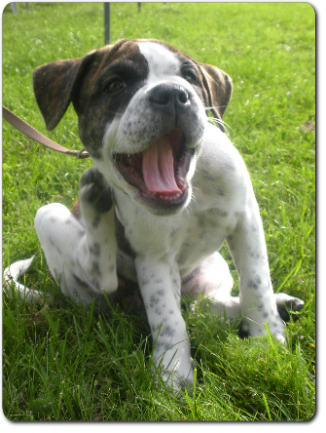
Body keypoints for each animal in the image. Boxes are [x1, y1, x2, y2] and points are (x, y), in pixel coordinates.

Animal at [3, 39, 304, 388]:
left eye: (190, 78)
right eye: (114, 85)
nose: (173, 93)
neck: (193, 186)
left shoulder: (247, 222)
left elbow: (256, 284)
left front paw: (265, 338)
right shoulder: (154, 257)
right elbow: (167, 314)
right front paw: (174, 373)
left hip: (212, 268)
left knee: (205, 307)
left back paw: (282, 305)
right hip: (50, 220)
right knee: (102, 274)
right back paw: (94, 199)